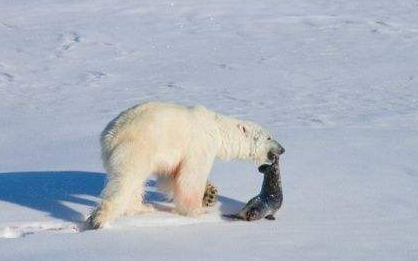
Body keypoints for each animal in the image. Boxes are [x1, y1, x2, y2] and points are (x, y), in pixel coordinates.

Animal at [88, 101, 284, 228]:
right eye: (269, 137)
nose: (282, 149)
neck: (217, 128)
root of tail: (110, 135)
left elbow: (170, 177)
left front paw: (210, 193)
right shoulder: (199, 144)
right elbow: (191, 176)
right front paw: (198, 211)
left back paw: (142, 208)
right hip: (137, 147)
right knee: (126, 181)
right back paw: (99, 220)